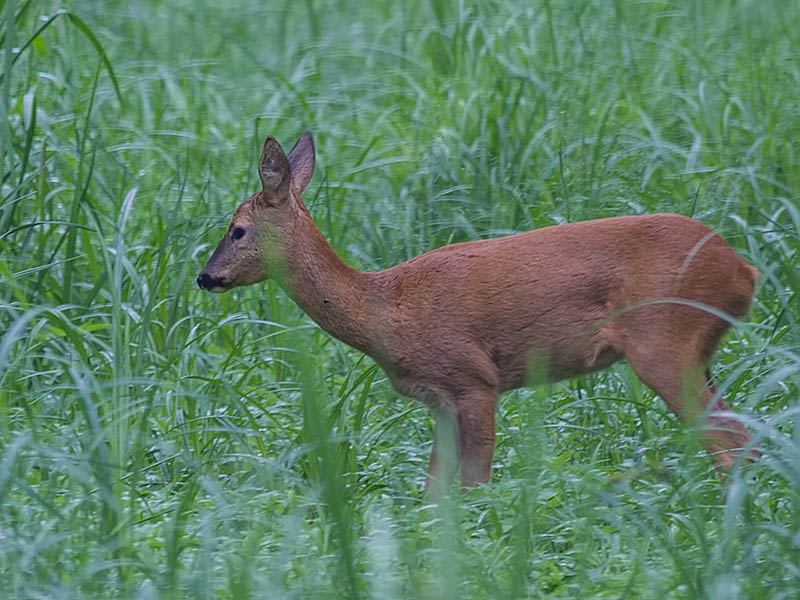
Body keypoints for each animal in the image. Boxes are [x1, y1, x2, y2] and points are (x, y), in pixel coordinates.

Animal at [197, 132, 760, 496]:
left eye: (237, 230)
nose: (205, 277)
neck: (387, 309)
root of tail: (744, 269)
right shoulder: (440, 402)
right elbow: (435, 491)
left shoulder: (474, 379)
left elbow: (476, 484)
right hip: (698, 351)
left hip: (664, 341)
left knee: (732, 444)